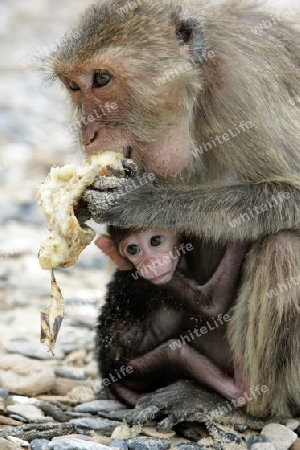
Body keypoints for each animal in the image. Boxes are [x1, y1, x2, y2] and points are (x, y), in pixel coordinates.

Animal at [46, 0, 300, 422]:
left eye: (102, 79)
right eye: (74, 86)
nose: (87, 134)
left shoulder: (246, 87)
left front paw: (141, 200)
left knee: (284, 244)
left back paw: (245, 400)